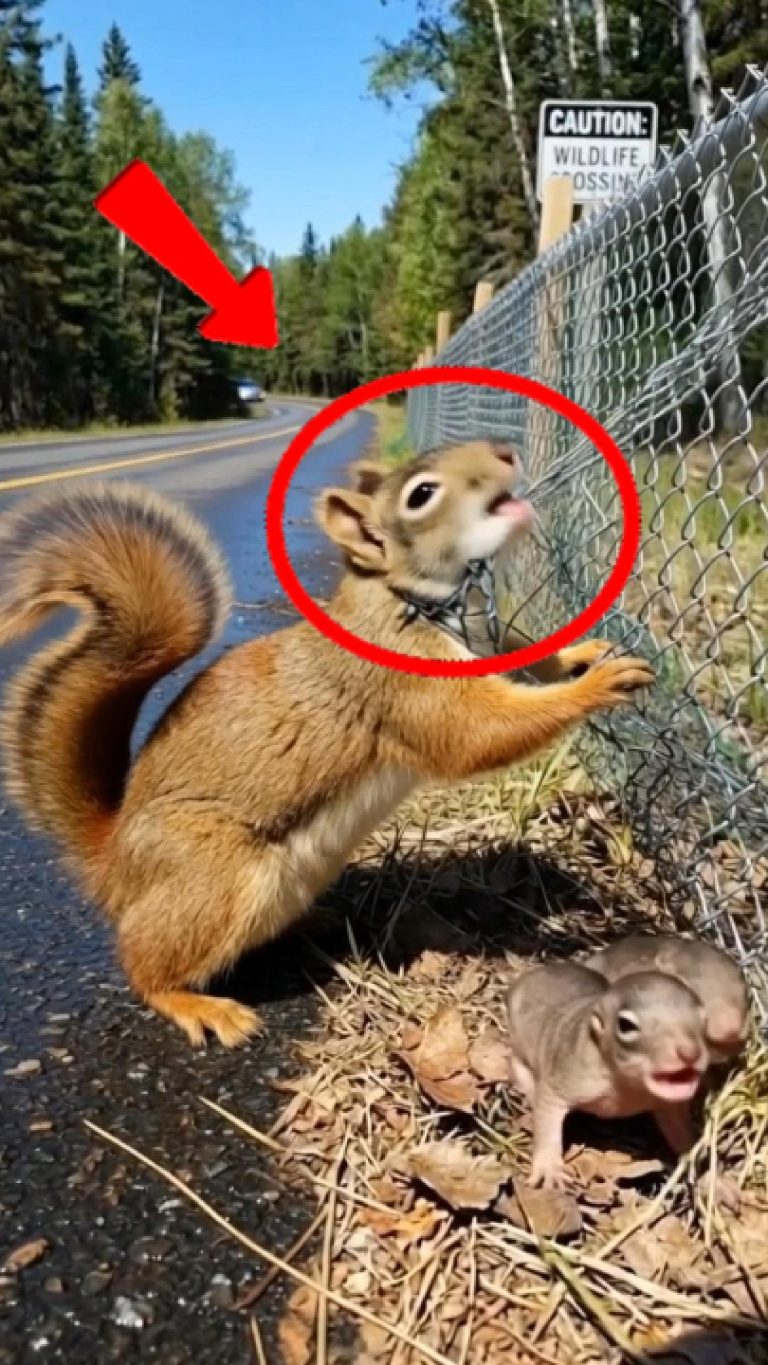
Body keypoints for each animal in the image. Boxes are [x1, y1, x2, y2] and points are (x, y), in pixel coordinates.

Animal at [0, 440, 654, 1047]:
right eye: (421, 495)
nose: (503, 451)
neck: (415, 599)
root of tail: (114, 862)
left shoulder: (491, 640)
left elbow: (530, 655)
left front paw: (582, 653)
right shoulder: (404, 684)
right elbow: (475, 736)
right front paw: (597, 684)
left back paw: (317, 919)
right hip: (214, 875)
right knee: (145, 962)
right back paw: (195, 1004)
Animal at [506, 962, 709, 1189]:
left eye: (704, 1020)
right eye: (626, 1025)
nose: (690, 1053)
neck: (628, 1084)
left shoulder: (668, 1104)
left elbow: (679, 1129)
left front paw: (699, 1165)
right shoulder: (569, 1076)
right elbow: (547, 1112)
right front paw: (549, 1167)